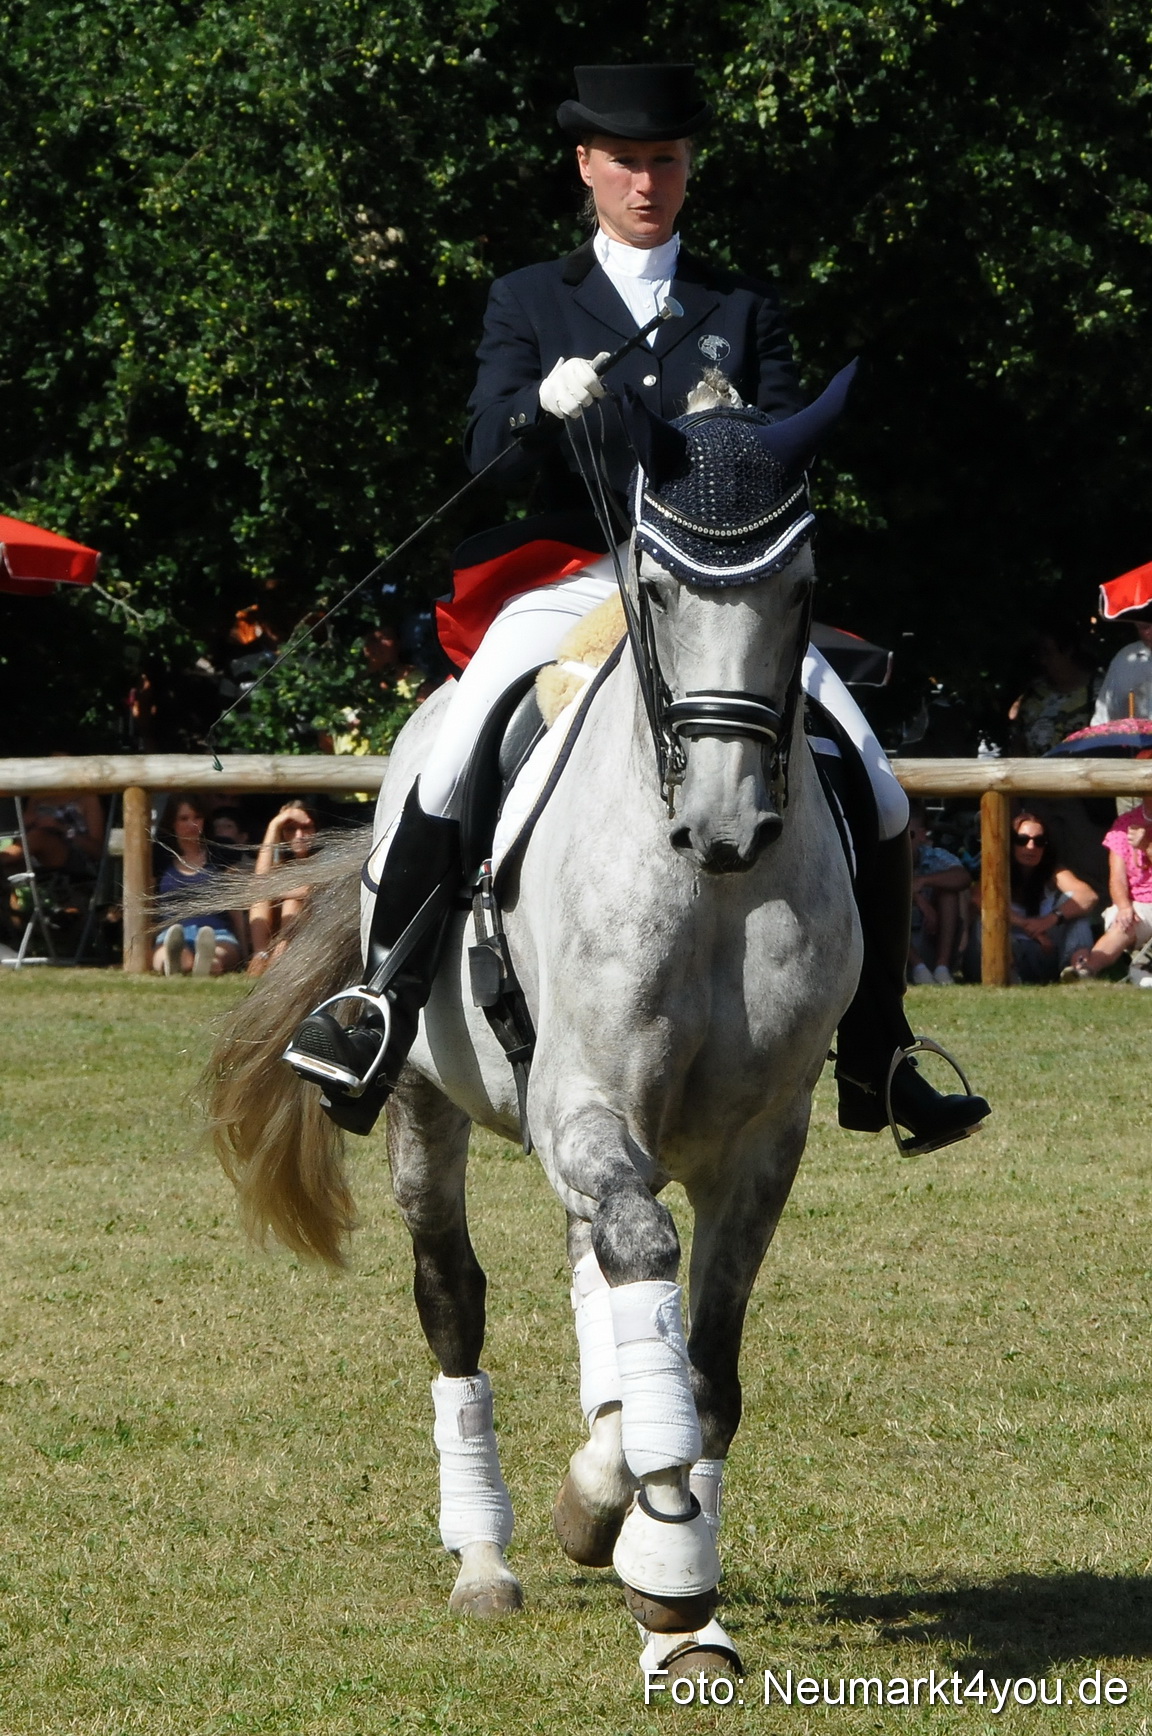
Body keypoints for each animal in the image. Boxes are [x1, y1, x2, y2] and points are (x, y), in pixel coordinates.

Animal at [206, 376, 862, 1679]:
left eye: (803, 587)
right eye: (657, 589)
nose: (726, 826)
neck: (708, 889)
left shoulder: (763, 1140)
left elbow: (703, 1364)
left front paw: (669, 1570)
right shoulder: (584, 1102)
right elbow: (642, 1261)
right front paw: (627, 1530)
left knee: (593, 1269)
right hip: (423, 1099)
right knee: (454, 1294)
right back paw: (486, 1558)